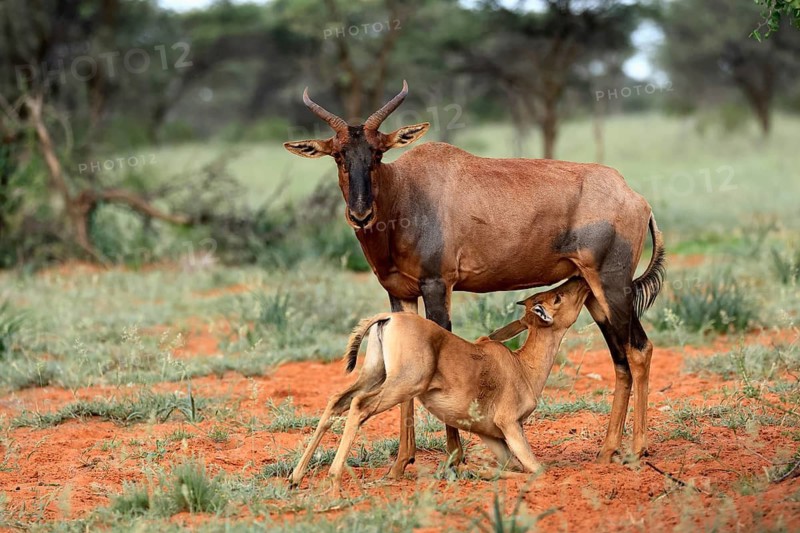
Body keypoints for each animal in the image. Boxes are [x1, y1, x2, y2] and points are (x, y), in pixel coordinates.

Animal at [290, 278, 592, 496]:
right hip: (402, 385)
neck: (520, 366)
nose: (581, 280)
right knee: (359, 405)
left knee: (337, 401)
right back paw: (334, 482)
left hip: (375, 374)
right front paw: (474, 470)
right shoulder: (510, 426)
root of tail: (388, 318)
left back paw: (295, 478)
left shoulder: (491, 435)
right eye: (557, 298)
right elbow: (537, 470)